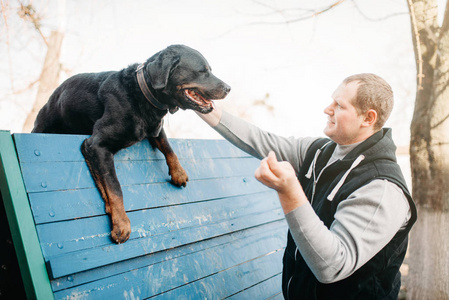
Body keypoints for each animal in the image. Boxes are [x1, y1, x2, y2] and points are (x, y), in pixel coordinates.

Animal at [33, 45, 231, 245]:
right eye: (203, 71)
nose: (229, 88)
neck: (141, 95)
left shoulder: (155, 128)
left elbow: (168, 147)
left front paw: (178, 173)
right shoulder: (97, 144)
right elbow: (114, 187)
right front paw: (121, 224)